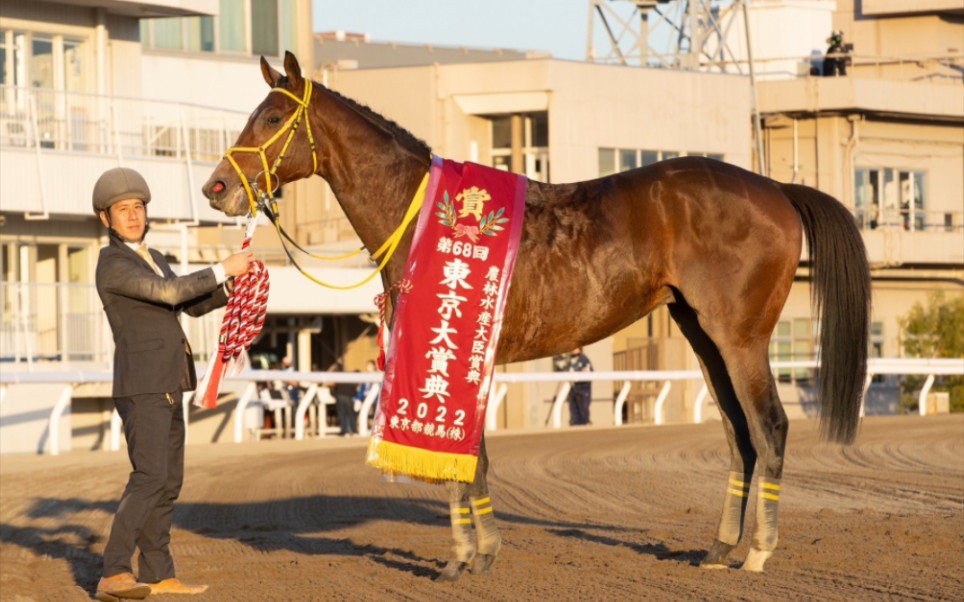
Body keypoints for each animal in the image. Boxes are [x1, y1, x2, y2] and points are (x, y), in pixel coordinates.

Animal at [203, 54, 872, 580]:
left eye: (271, 117)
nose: (216, 188)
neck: (425, 212)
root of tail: (776, 189)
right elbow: (468, 457)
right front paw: (471, 554)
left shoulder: (463, 352)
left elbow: (466, 459)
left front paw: (470, 556)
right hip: (701, 334)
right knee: (738, 434)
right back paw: (719, 548)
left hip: (740, 337)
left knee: (770, 426)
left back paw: (758, 552)